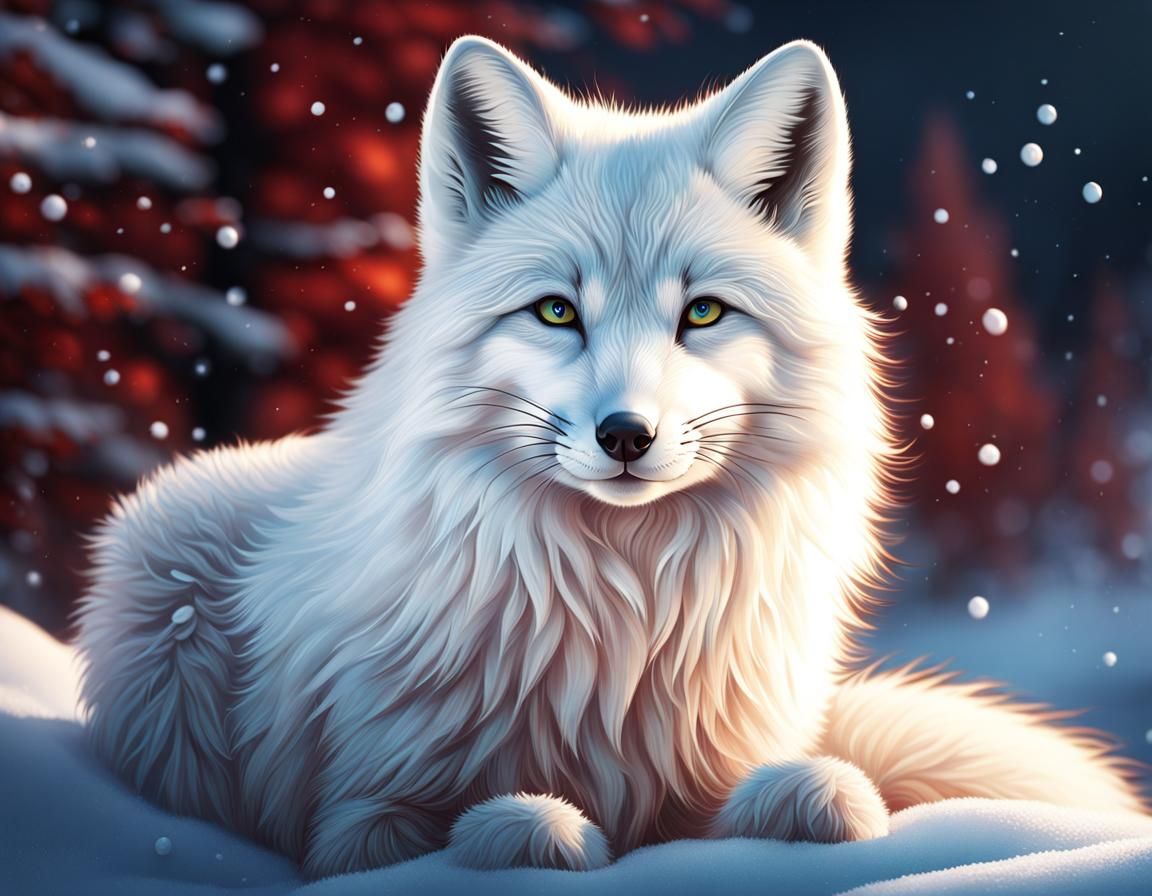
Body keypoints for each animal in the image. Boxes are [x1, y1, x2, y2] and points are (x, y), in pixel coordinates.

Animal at [75, 37, 1144, 878]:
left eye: (702, 312)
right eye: (556, 311)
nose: (625, 435)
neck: (622, 624)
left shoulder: (709, 772)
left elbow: (797, 795)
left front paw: (809, 806)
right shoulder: (350, 821)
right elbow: (458, 828)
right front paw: (537, 827)